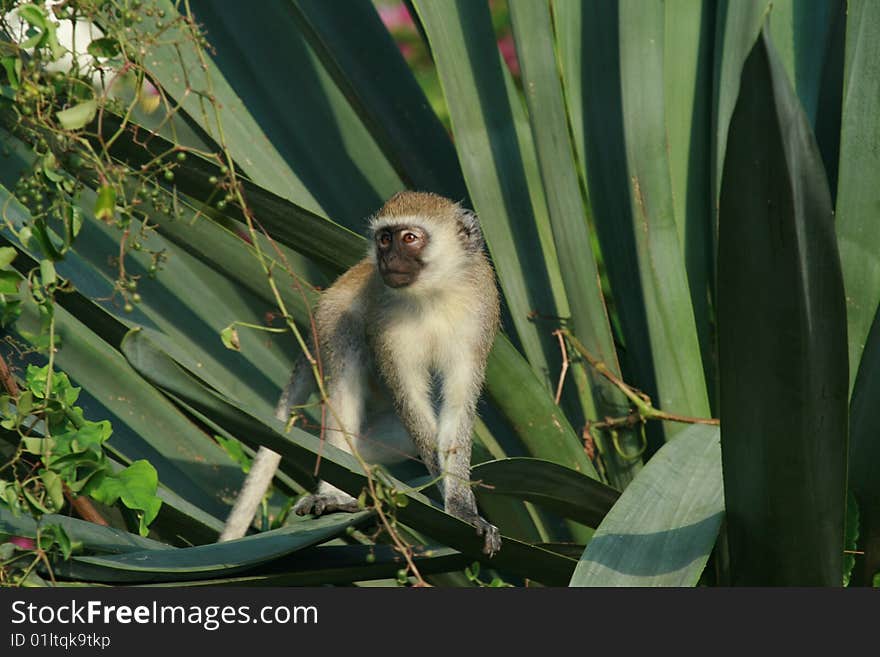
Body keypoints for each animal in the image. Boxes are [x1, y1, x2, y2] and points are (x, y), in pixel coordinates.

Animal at [276, 190, 502, 552]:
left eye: (409, 238)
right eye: (384, 239)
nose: (387, 259)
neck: (433, 294)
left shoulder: (479, 313)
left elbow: (456, 408)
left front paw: (461, 507)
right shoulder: (386, 326)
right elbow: (411, 401)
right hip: (330, 320)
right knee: (348, 348)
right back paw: (336, 493)